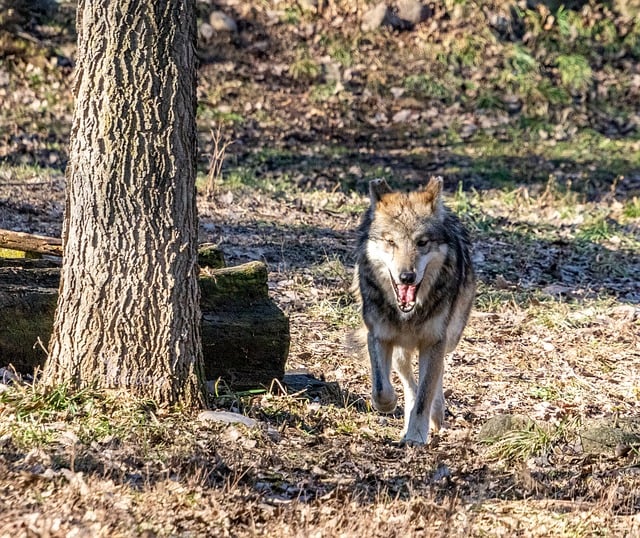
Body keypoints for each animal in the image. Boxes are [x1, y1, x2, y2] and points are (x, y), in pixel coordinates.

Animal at [354, 176, 476, 446]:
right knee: (409, 381)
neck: (408, 315)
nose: (407, 277)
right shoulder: (378, 335)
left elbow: (424, 395)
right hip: (402, 350)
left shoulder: (434, 341)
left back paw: (436, 414)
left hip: (449, 339)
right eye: (391, 242)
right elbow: (382, 388)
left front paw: (416, 436)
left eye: (422, 243)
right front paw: (390, 406)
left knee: (435, 378)